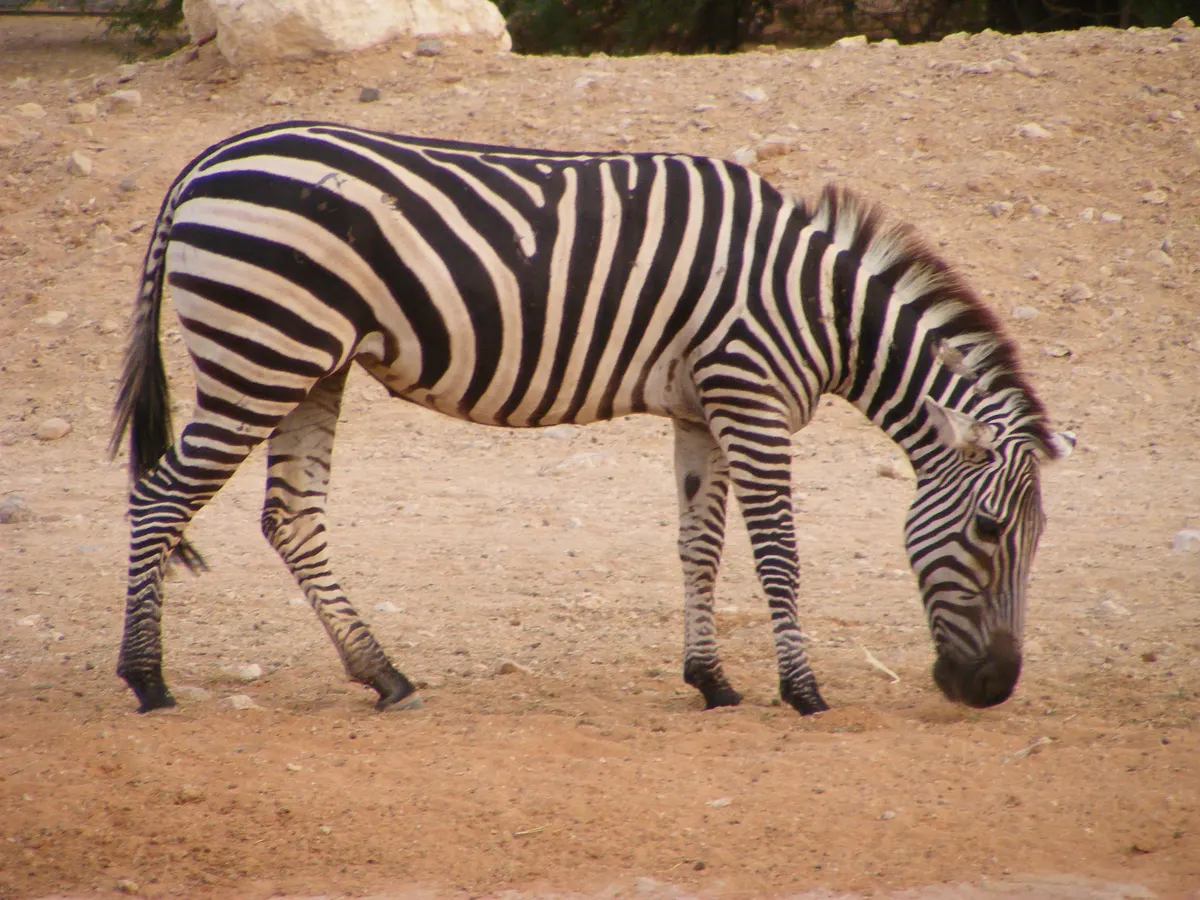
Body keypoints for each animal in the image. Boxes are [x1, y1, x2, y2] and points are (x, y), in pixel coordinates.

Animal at [111, 121, 1073, 717]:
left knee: (289, 518)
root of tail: (205, 163)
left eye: (1033, 539)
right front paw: (801, 691)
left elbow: (698, 547)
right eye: (991, 532)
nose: (994, 688)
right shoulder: (752, 398)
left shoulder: (702, 410)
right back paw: (148, 678)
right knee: (159, 497)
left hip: (309, 364)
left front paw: (711, 681)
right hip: (259, 355)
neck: (818, 307)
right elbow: (779, 555)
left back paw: (383, 673)